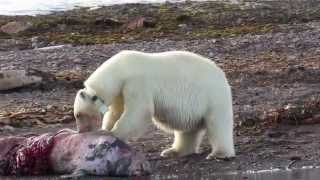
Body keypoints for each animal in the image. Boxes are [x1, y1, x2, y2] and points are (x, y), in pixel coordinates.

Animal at [74, 50, 236, 159]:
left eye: (78, 115)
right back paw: (173, 151)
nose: (81, 131)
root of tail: (222, 75)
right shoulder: (121, 91)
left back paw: (219, 154)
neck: (122, 69)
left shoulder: (137, 83)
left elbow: (139, 111)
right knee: (187, 130)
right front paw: (106, 129)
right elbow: (116, 112)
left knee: (218, 124)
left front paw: (113, 133)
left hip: (213, 97)